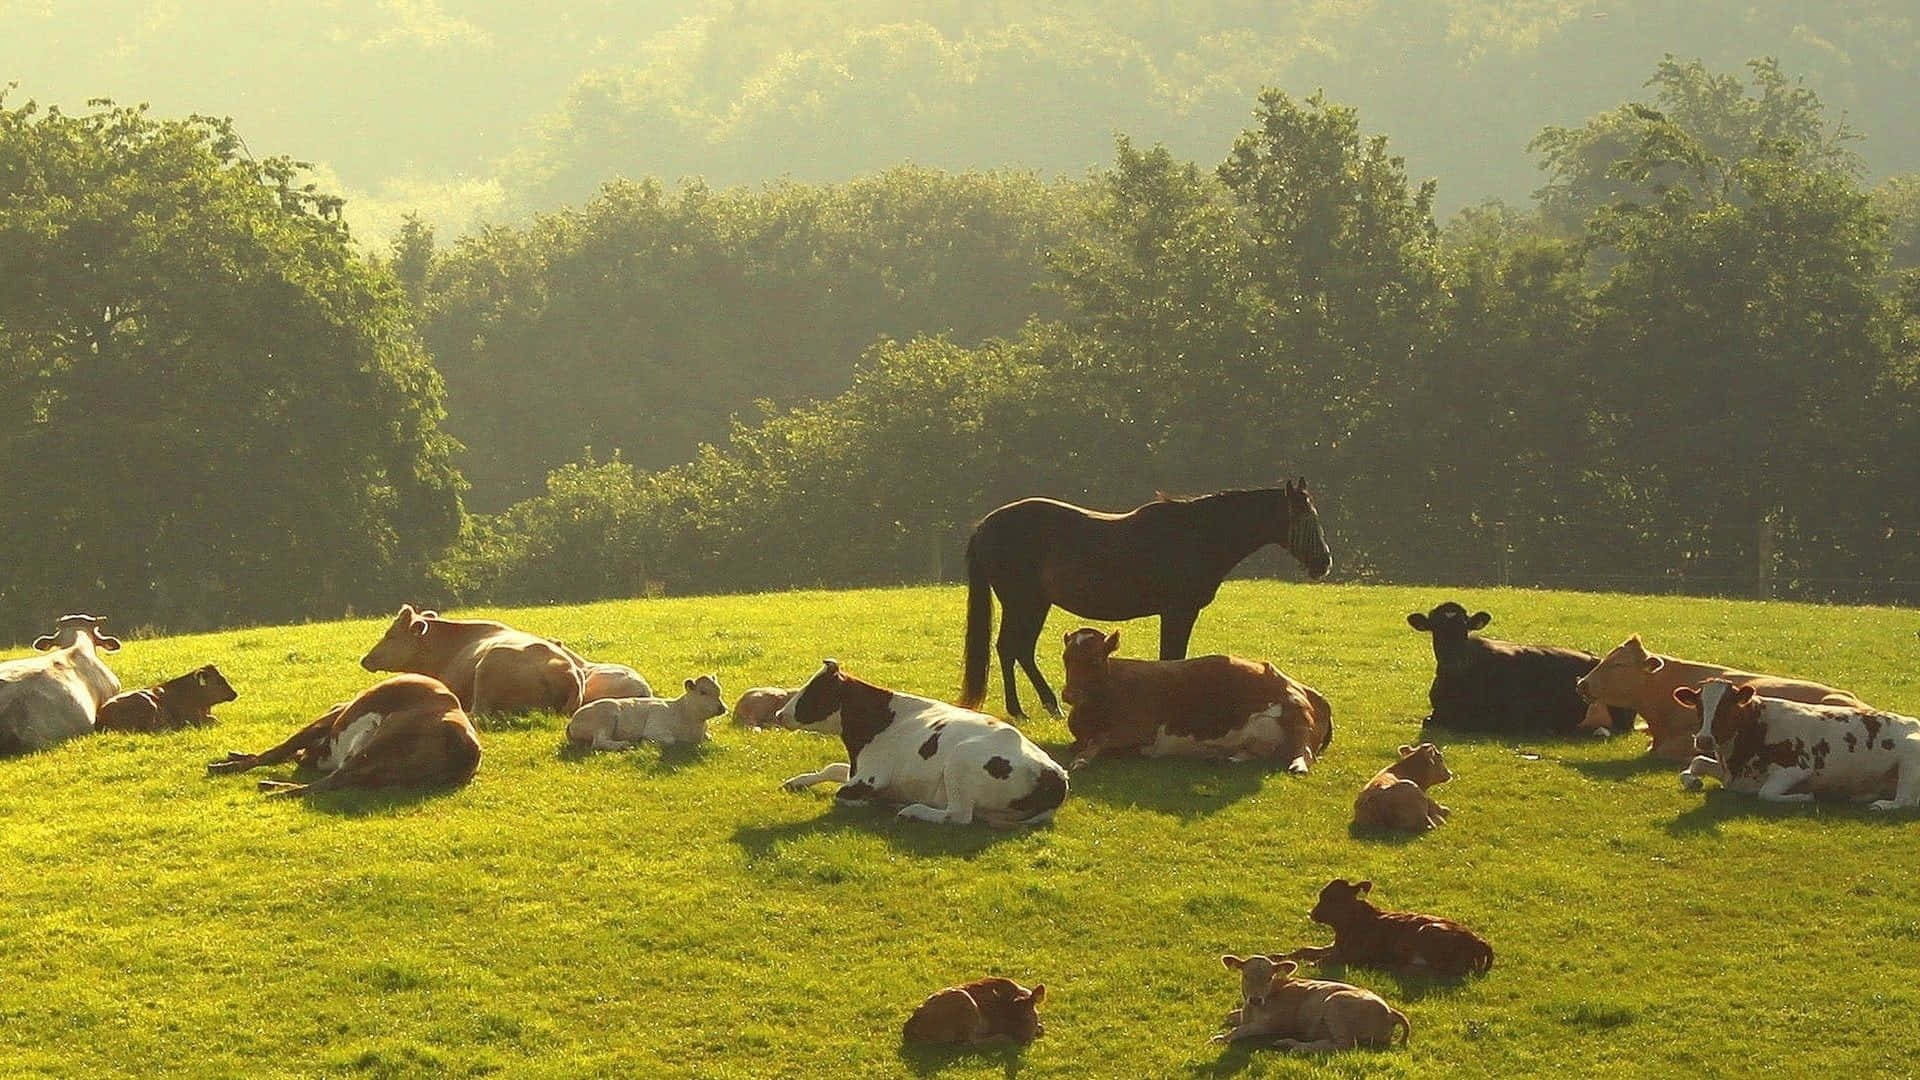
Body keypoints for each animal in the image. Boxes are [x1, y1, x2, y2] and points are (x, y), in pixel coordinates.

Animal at [959, 480, 1332, 719]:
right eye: (1306, 518)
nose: (1324, 562)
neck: (1199, 535)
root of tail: (985, 525)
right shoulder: (1179, 612)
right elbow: (1172, 658)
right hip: (1024, 603)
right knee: (1010, 648)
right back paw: (1024, 709)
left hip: (1033, 605)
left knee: (1017, 650)